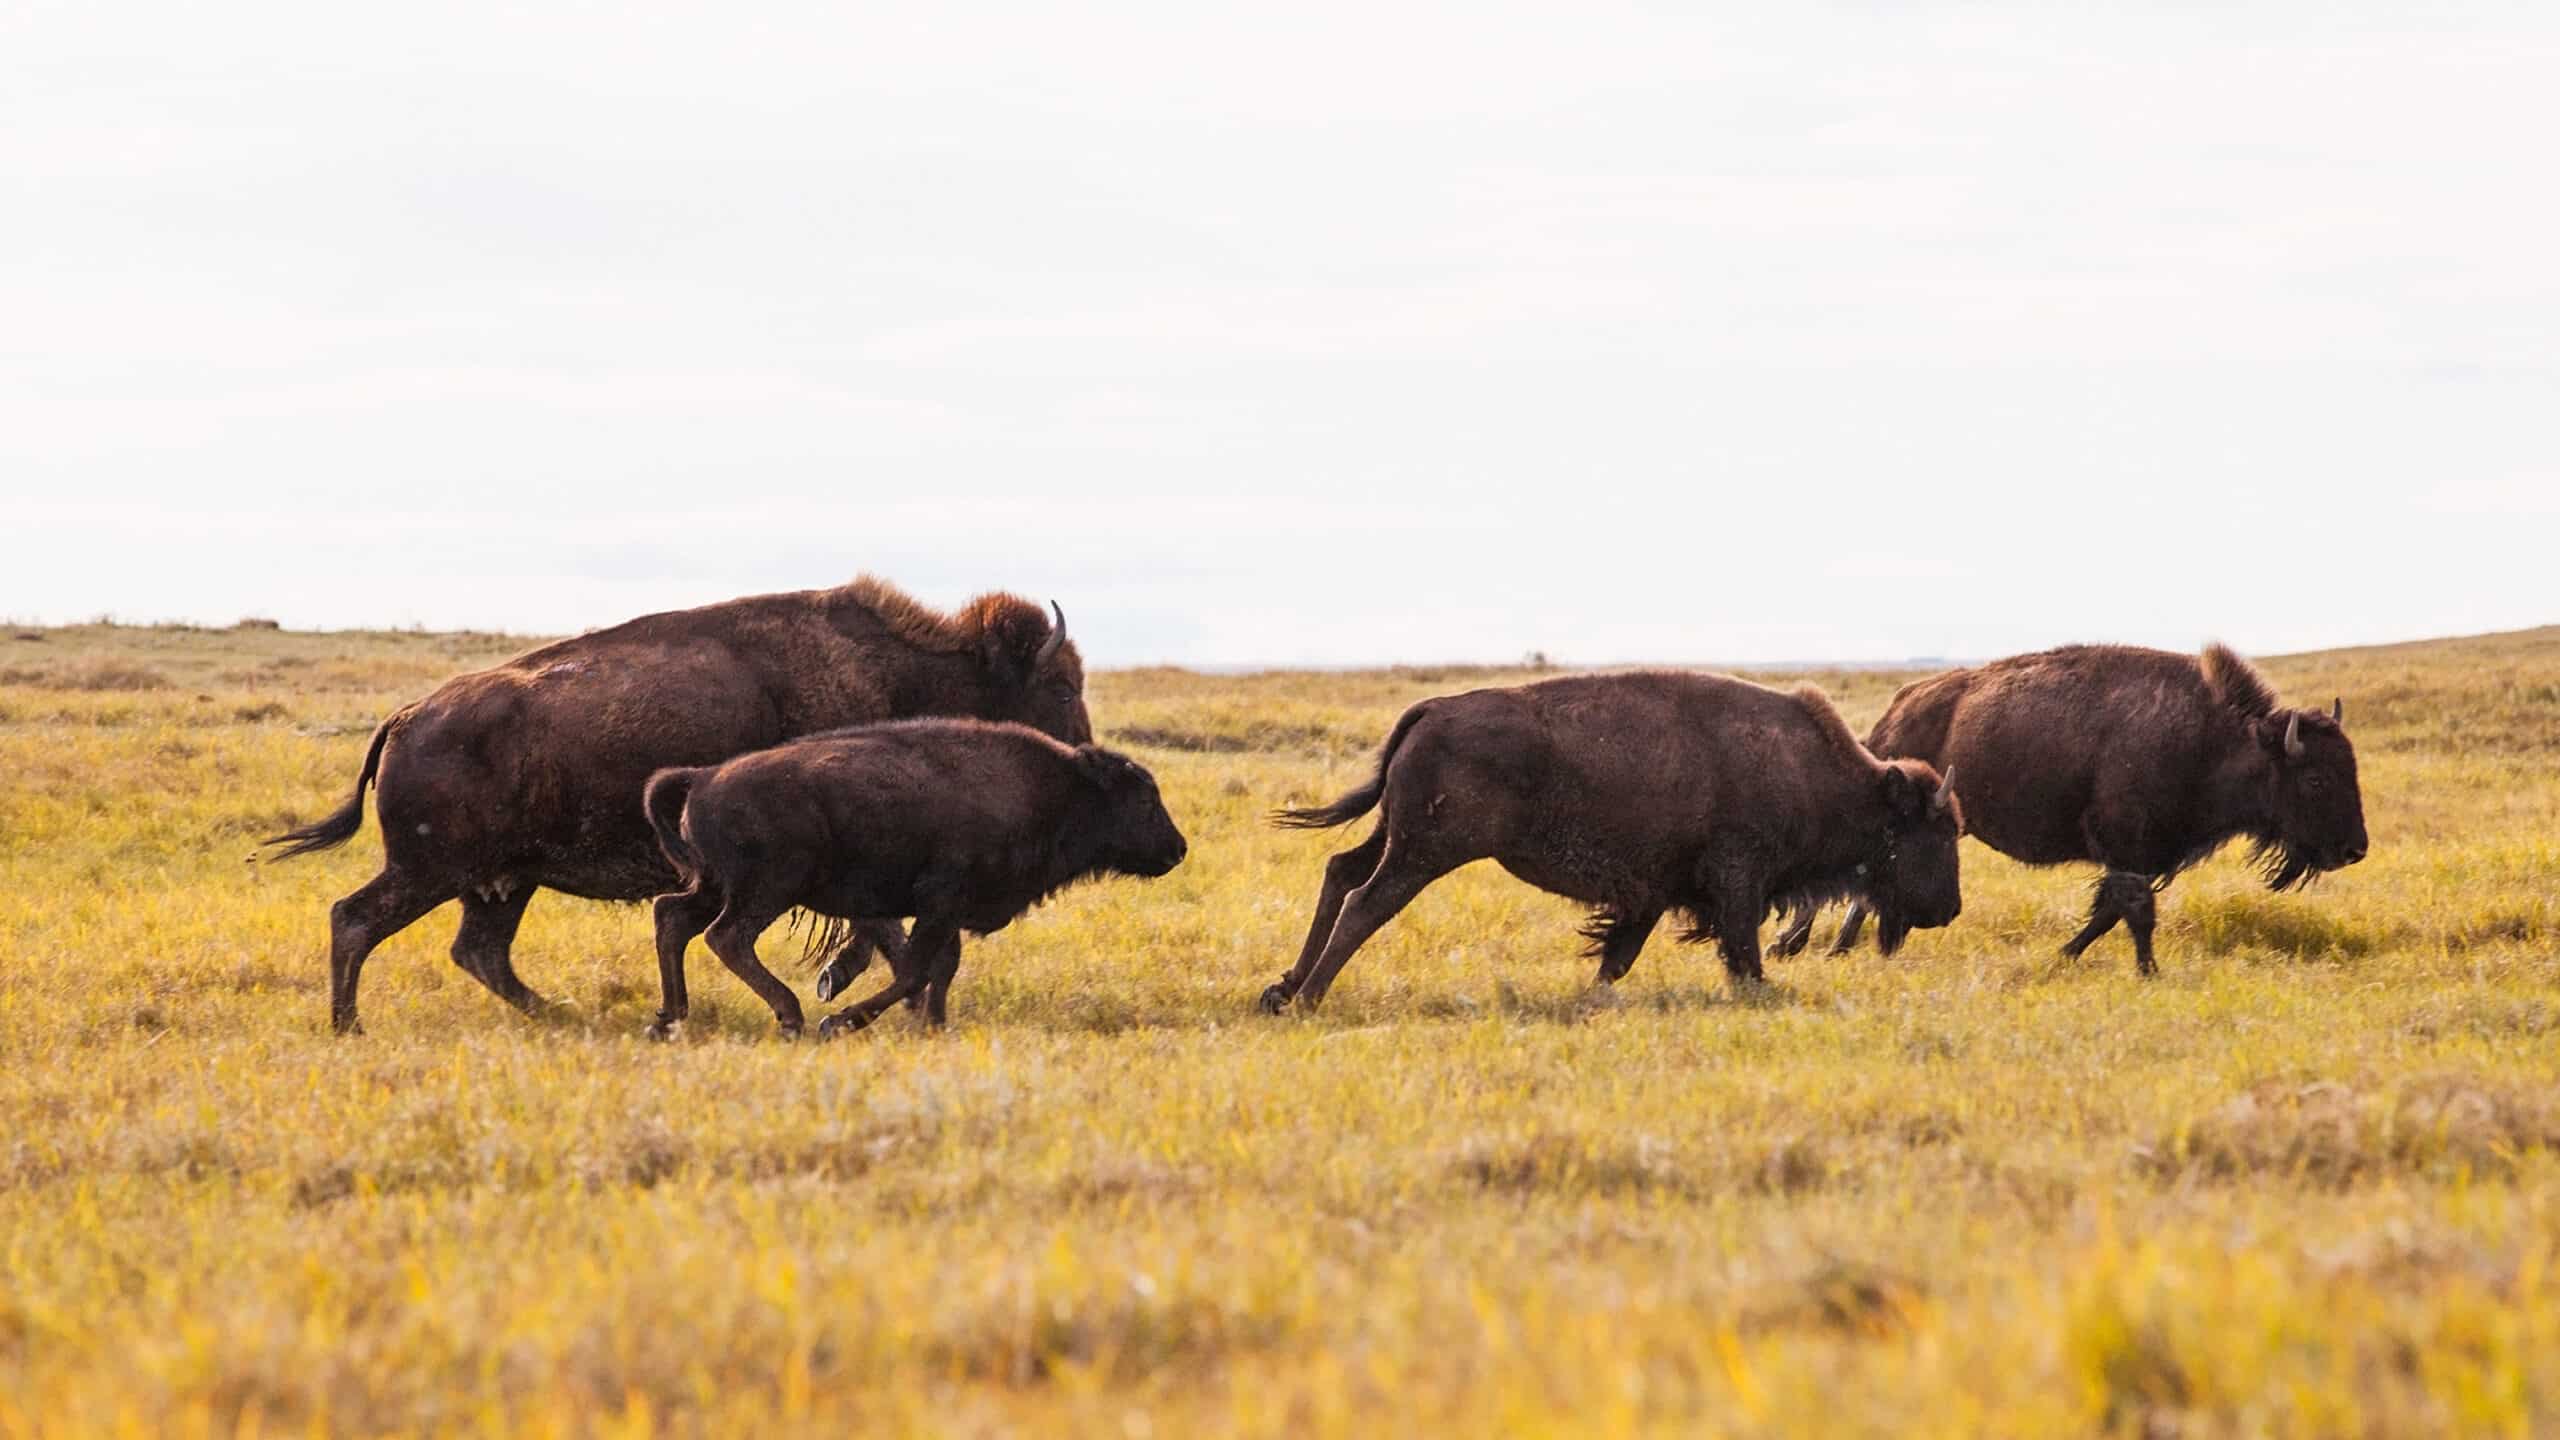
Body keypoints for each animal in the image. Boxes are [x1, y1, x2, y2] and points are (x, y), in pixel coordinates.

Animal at [263, 577, 1091, 1033]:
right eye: (1058, 686)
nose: (1083, 755)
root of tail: (407, 717)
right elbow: (894, 940)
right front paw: (850, 997)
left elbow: (894, 940)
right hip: (432, 870)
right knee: (357, 920)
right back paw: (351, 1028)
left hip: (501, 881)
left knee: (478, 950)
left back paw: (568, 1016)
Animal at [641, 720, 1188, 1038]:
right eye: (1143, 797)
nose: (1178, 849)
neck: (1060, 788)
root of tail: (704, 778)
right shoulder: (939, 903)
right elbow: (914, 970)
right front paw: (839, 1021)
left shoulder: (945, 913)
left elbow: (939, 968)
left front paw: (936, 1026)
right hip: (766, 890)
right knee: (727, 937)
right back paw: (791, 1016)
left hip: (715, 887)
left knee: (673, 917)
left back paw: (669, 1019)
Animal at [1259, 671, 1964, 1012]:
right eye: (1930, 833)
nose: (1951, 909)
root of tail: (1431, 709)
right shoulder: (1738, 882)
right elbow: (1740, 948)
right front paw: (1762, 991)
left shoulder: (1648, 894)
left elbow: (1617, 955)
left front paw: (1595, 995)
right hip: (1425, 852)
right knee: (1365, 902)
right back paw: (1308, 1000)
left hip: (1396, 837)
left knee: (1341, 872)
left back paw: (1282, 990)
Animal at [1771, 643, 2368, 974]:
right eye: (2316, 778)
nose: (2354, 849)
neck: (2215, 740)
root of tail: (1897, 709)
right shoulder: (2126, 850)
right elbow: (2134, 910)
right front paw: (2147, 971)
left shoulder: (2136, 858)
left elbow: (2109, 913)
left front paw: (2067, 955)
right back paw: (1798, 945)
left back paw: (1836, 949)